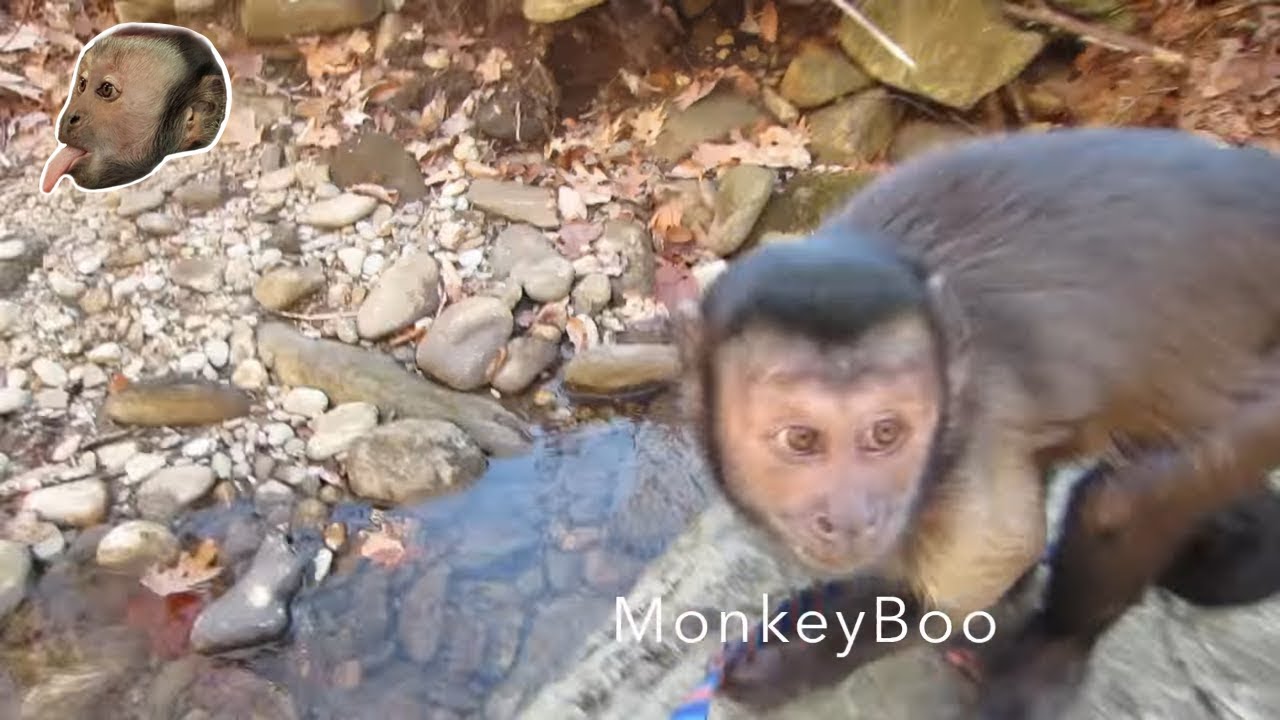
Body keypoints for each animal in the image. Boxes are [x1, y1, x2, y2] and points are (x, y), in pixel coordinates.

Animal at [680, 127, 1280, 718]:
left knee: (1121, 501)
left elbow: (998, 568)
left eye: (885, 434)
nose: (853, 516)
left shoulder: (976, 443)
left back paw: (1051, 655)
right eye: (801, 439)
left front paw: (825, 646)